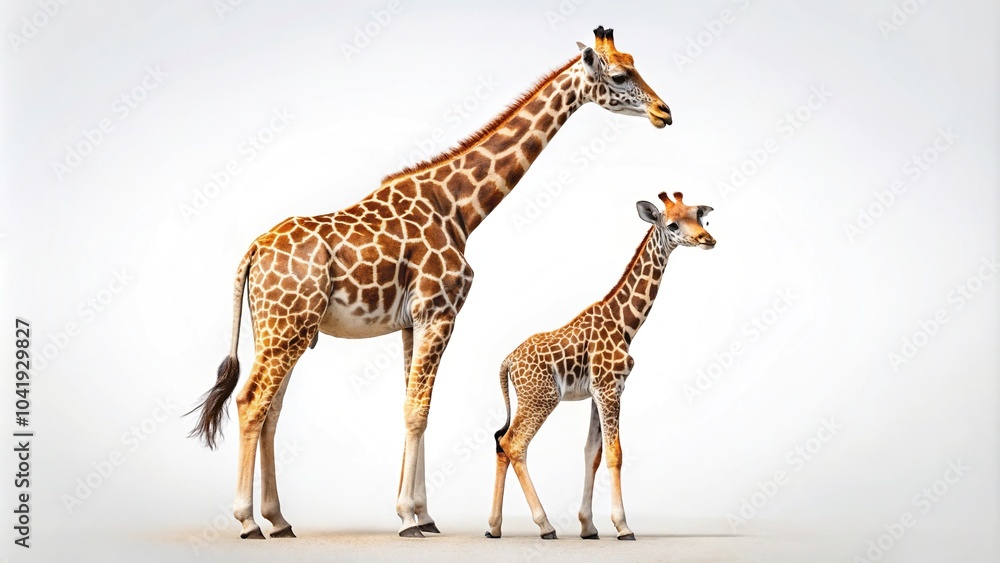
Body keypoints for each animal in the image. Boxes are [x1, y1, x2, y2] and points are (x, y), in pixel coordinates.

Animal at [188, 26, 673, 539]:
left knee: (271, 411)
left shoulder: (410, 321)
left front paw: (423, 514)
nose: (665, 112)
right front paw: (407, 517)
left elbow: (415, 407)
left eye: (635, 63)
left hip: (279, 330)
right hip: (287, 328)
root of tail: (253, 251)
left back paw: (279, 520)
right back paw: (247, 522)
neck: (460, 207)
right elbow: (417, 410)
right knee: (250, 402)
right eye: (619, 75)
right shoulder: (438, 311)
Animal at [485, 191, 716, 540]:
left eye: (700, 217)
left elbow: (591, 453)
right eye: (673, 224)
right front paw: (622, 526)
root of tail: (507, 362)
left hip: (528, 399)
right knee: (514, 443)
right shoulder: (610, 389)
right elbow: (615, 453)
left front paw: (588, 526)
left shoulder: (600, 392)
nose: (707, 239)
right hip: (541, 397)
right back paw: (545, 525)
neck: (626, 324)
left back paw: (494, 526)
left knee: (501, 441)